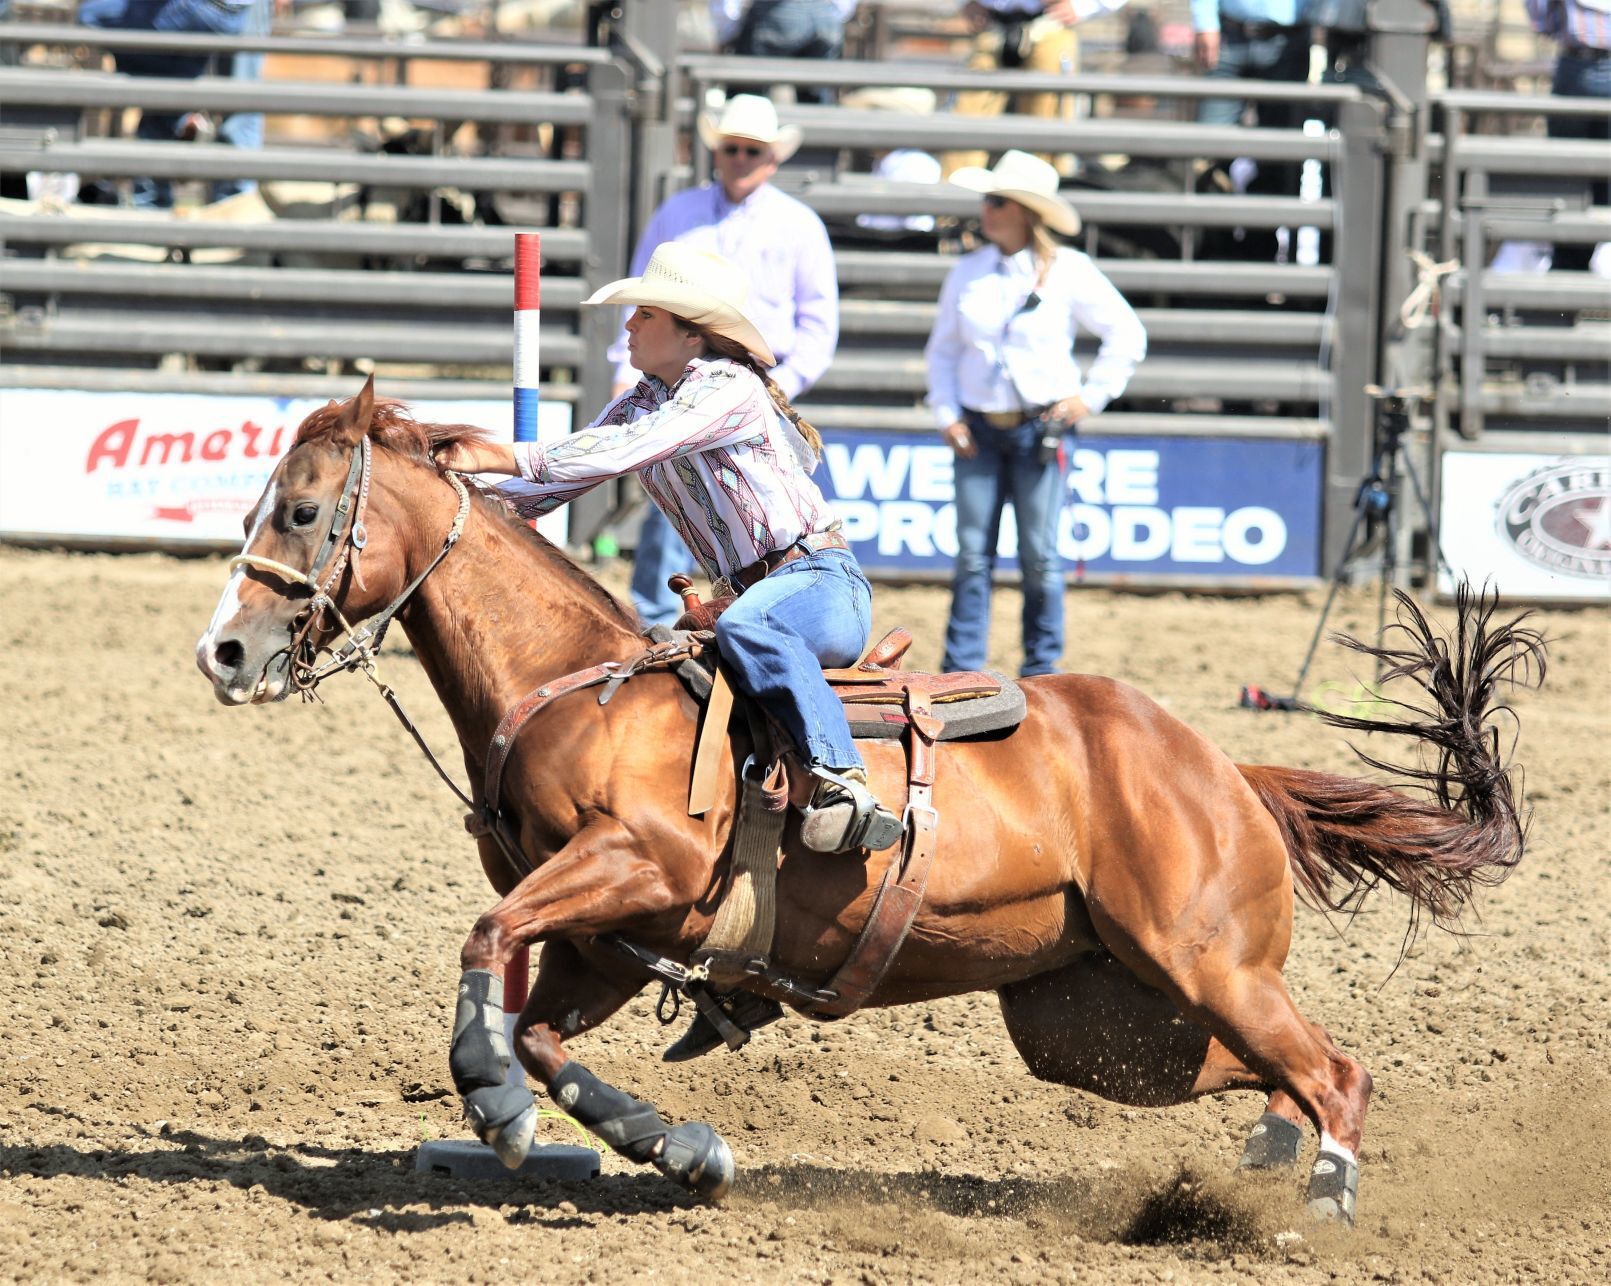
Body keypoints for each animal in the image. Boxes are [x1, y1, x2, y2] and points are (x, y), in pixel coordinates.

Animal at [194, 389, 1540, 1218]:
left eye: (303, 510)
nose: (224, 650)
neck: (575, 683)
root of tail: (1222, 766)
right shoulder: (609, 940)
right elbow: (543, 1030)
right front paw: (679, 1145)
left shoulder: (641, 867)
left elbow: (489, 951)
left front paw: (495, 1101)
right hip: (1101, 1018)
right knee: (1275, 1070)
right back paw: (1268, 1153)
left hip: (1203, 961)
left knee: (1340, 1070)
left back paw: (1323, 1197)